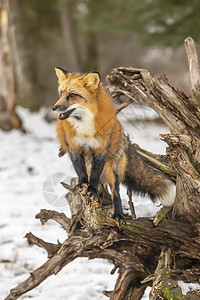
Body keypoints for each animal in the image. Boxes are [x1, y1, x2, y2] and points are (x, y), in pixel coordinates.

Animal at [52, 67, 176, 218]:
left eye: (72, 95)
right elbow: (80, 170)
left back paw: (118, 215)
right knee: (102, 188)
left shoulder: (101, 149)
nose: (54, 108)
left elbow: (95, 177)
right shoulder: (74, 147)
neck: (84, 128)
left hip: (113, 172)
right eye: (60, 93)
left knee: (116, 193)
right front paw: (83, 185)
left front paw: (91, 189)